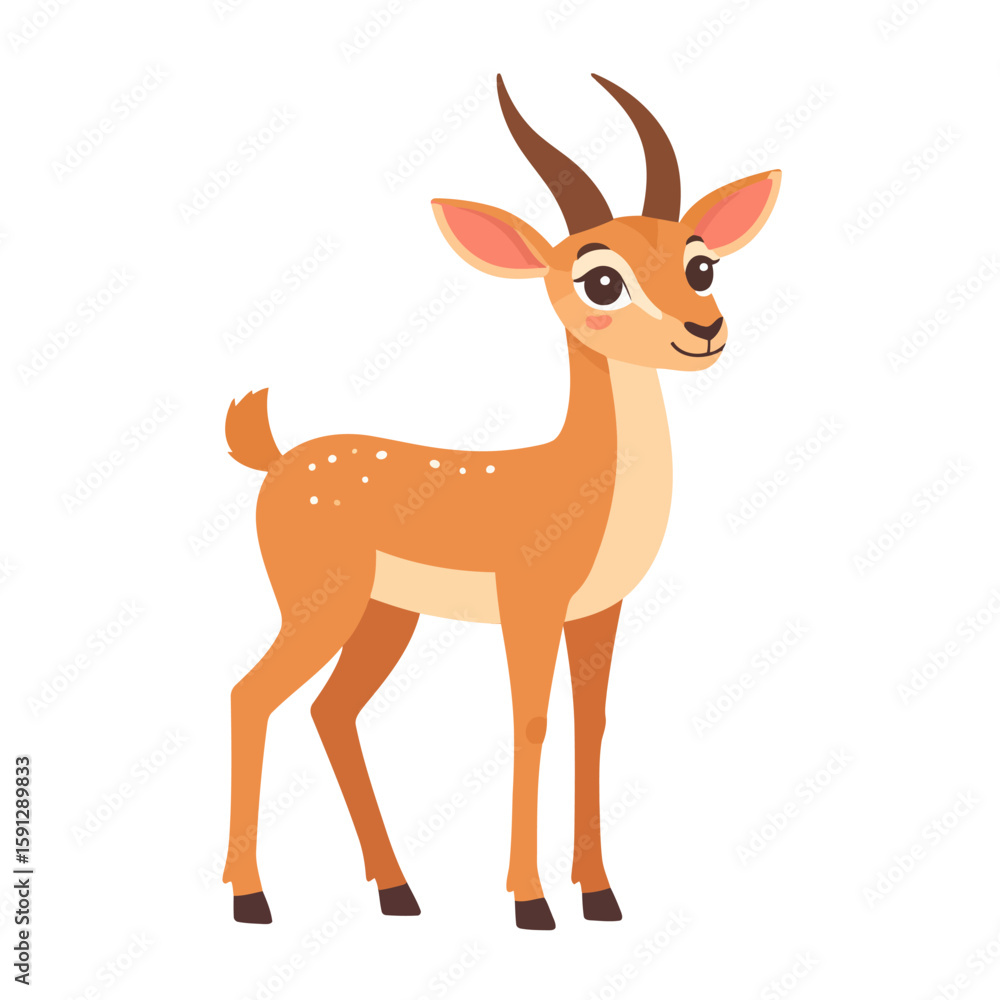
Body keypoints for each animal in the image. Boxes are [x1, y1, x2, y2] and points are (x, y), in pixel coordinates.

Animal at [223, 74, 781, 930]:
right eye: (601, 279)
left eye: (701, 265)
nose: (704, 330)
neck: (580, 483)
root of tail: (278, 457)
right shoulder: (529, 605)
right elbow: (531, 723)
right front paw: (531, 902)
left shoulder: (596, 612)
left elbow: (591, 725)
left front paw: (601, 895)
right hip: (321, 604)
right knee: (249, 696)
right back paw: (252, 899)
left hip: (385, 616)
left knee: (330, 712)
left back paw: (398, 893)